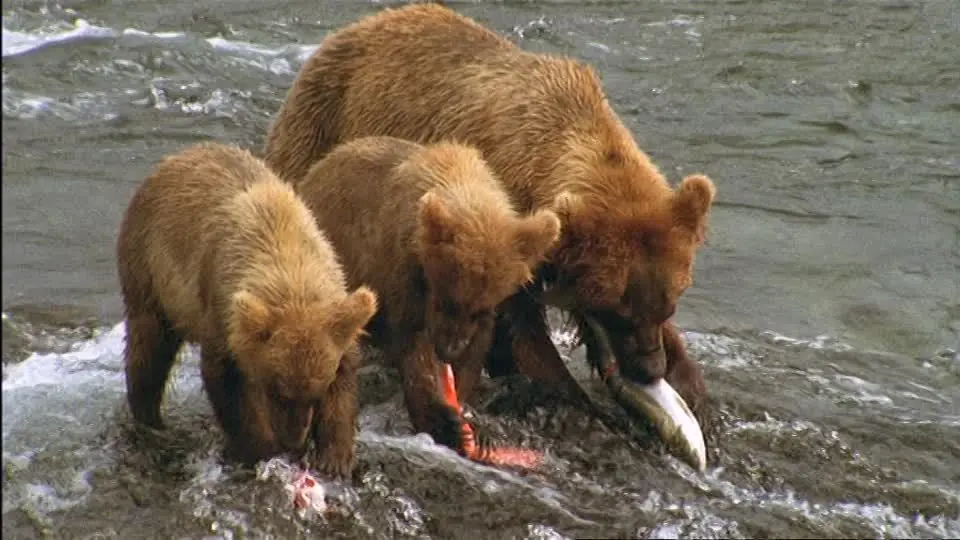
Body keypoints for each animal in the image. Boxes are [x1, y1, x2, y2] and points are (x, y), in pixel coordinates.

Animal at [116, 142, 378, 476]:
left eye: (315, 393)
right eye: (278, 390)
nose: (295, 439)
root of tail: (174, 158)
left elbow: (344, 377)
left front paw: (335, 457)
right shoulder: (222, 311)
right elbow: (227, 382)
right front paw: (261, 448)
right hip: (148, 269)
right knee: (148, 347)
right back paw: (149, 418)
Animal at [292, 135, 561, 455]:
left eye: (478, 309)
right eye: (447, 301)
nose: (448, 350)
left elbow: (475, 350)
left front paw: (464, 413)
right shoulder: (402, 270)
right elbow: (414, 346)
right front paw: (444, 422)